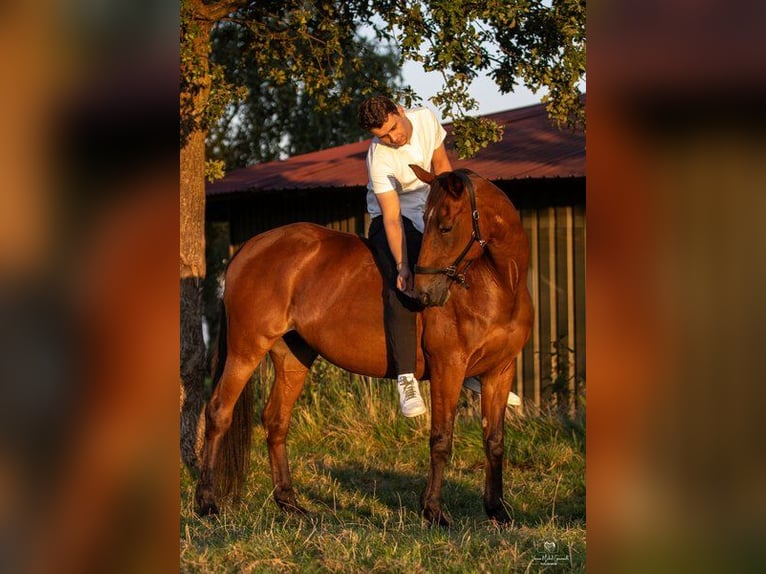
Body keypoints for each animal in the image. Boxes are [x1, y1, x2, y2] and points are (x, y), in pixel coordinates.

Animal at [195, 166, 536, 528]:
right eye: (430, 222)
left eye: (444, 226)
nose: (423, 293)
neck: (498, 285)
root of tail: (249, 247)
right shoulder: (449, 368)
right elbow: (441, 438)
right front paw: (433, 511)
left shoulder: (500, 371)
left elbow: (494, 440)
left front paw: (498, 510)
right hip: (245, 350)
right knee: (218, 413)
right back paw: (207, 503)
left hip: (292, 358)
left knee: (276, 420)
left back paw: (290, 503)